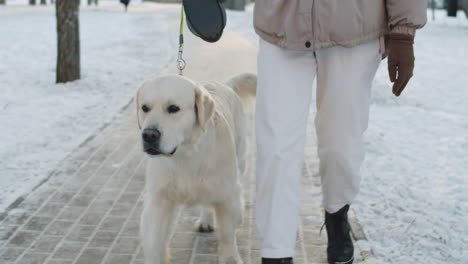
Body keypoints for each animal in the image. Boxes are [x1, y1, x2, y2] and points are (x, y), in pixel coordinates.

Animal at [136, 72, 256, 264]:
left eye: (173, 108)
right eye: (145, 108)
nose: (149, 135)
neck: (186, 155)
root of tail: (225, 84)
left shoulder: (228, 193)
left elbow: (227, 233)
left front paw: (230, 257)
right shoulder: (159, 199)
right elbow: (154, 241)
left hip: (239, 161)